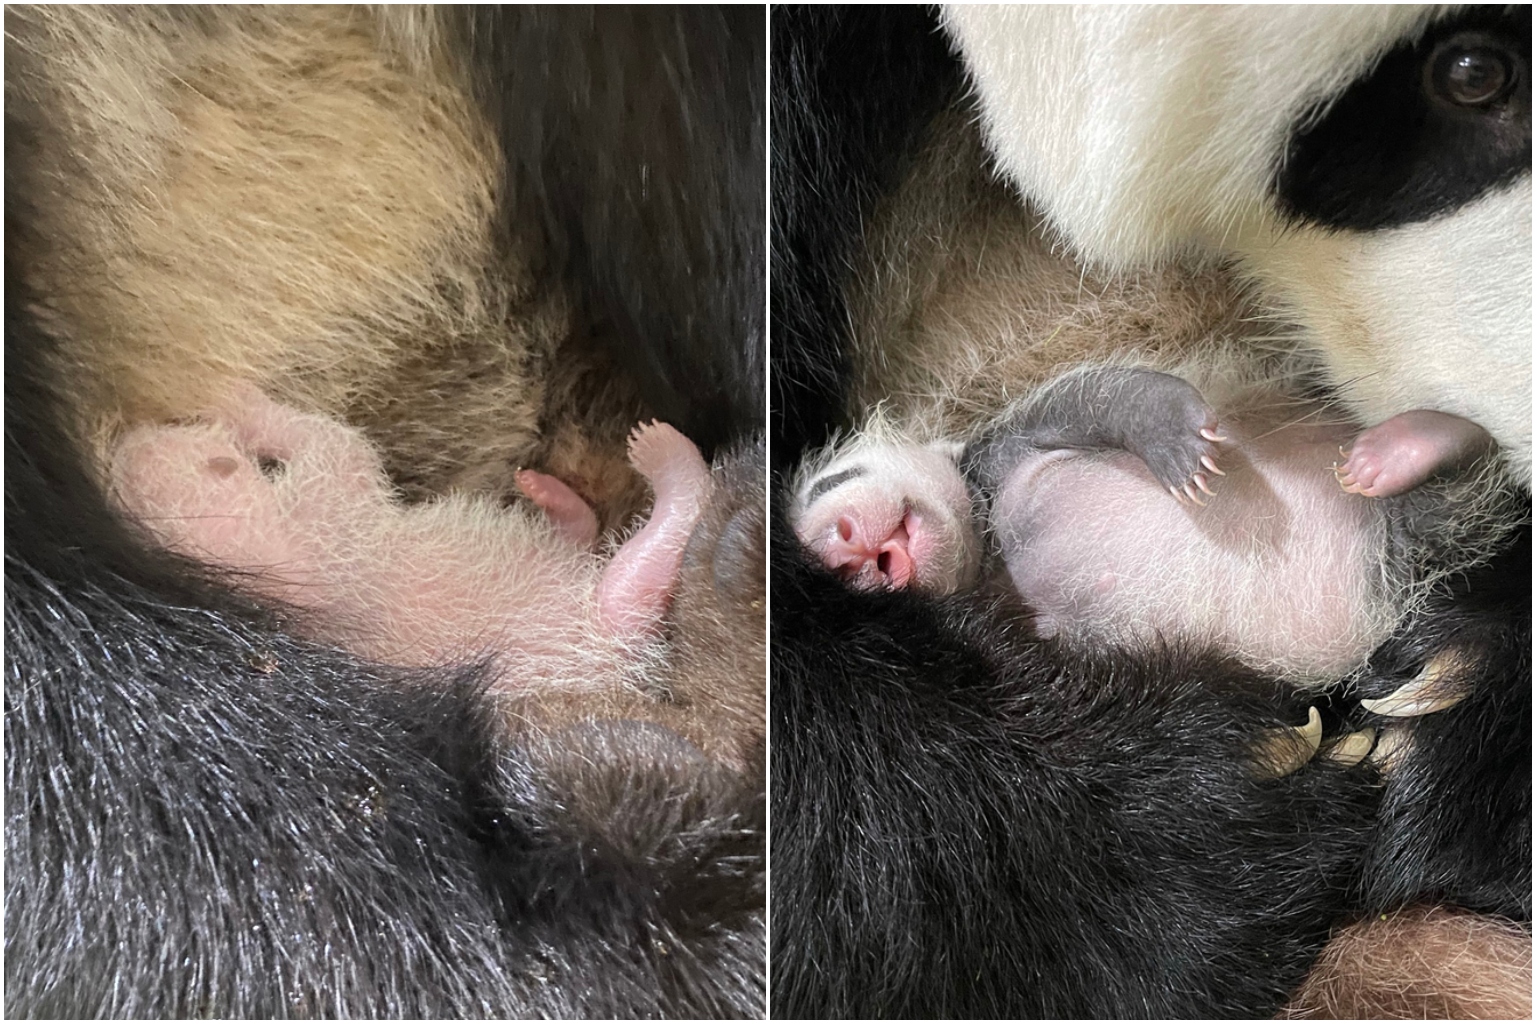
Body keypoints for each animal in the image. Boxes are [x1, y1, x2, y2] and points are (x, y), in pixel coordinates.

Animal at [6, 6, 766, 1017]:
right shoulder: (326, 522)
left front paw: (234, 403)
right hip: (604, 619)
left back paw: (558, 500)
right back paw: (657, 471)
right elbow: (337, 453)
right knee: (640, 573)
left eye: (187, 453)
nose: (130, 448)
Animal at [769, 5, 1529, 1018]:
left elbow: (1105, 400)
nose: (846, 541)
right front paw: (1228, 804)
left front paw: (1175, 438)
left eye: (1471, 73)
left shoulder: (1008, 442)